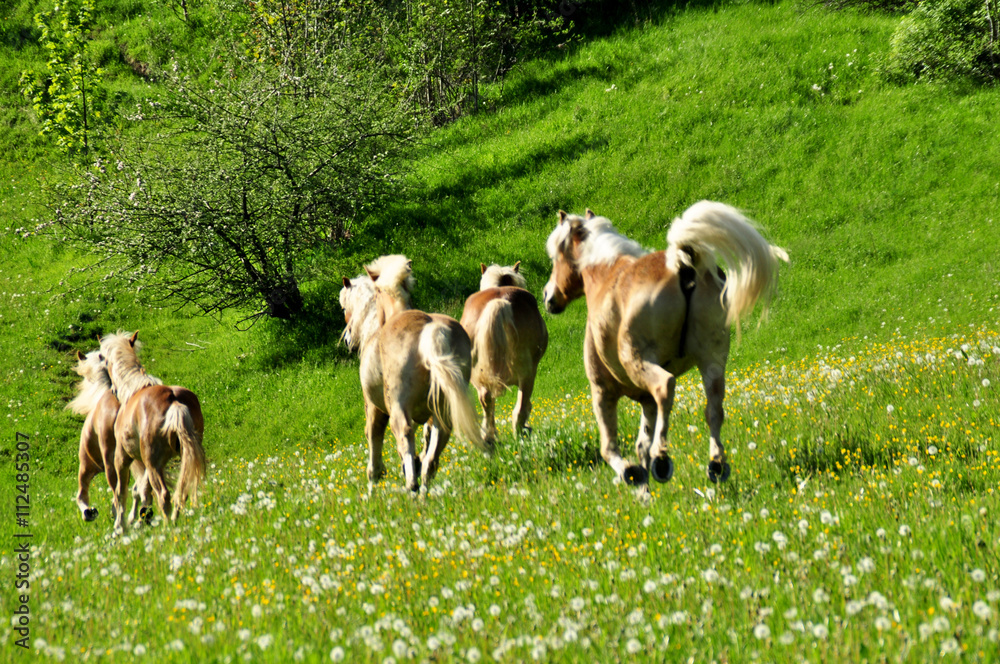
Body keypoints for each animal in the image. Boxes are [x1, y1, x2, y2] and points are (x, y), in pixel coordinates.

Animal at [66, 349, 150, 522]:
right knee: (143, 489)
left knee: (119, 494)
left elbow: (81, 495)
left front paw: (89, 512)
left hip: (109, 464)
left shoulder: (87, 466)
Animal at [99, 331, 206, 530]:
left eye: (104, 359)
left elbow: (121, 492)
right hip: (179, 457)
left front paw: (120, 525)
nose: (113, 390)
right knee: (181, 490)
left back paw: (167, 527)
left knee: (164, 494)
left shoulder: (122, 457)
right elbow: (143, 490)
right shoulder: (151, 463)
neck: (133, 390)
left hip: (152, 462)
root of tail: (174, 401)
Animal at [339, 254, 489, 493]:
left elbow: (374, 445)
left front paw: (374, 483)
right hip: (442, 410)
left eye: (344, 307)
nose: (348, 340)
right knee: (432, 457)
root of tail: (433, 331)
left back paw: (412, 487)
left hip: (398, 409)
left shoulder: (375, 409)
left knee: (405, 435)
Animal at [459, 261, 548, 445]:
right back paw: (520, 435)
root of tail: (499, 302)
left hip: (478, 376)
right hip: (527, 375)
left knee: (486, 402)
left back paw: (489, 437)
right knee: (520, 409)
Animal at [542, 200, 788, 491]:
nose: (548, 296)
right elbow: (642, 442)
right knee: (714, 408)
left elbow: (610, 448)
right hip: (712, 359)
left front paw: (632, 474)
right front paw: (645, 487)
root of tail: (682, 264)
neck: (605, 273)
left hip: (639, 361)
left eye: (556, 256)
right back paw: (716, 464)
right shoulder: (645, 400)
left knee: (666, 387)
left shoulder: (602, 390)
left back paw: (662, 459)